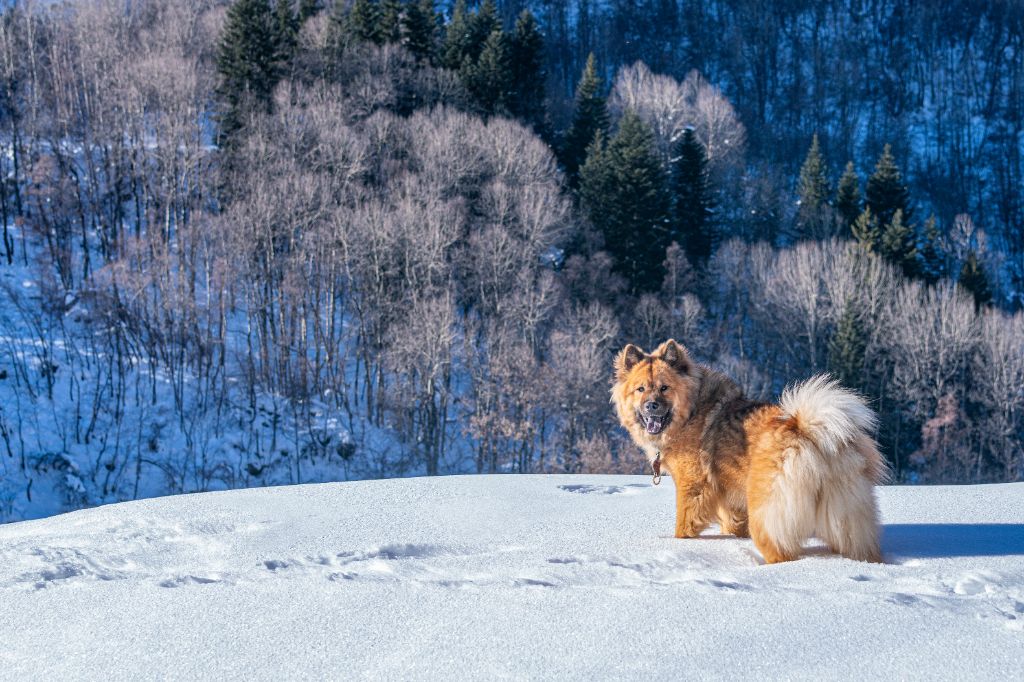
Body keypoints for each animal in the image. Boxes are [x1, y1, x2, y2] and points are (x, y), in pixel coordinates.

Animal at [606, 337, 888, 561]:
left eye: (664, 388)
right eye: (640, 389)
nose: (651, 405)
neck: (692, 410)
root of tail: (808, 433)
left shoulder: (693, 486)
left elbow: (684, 523)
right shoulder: (728, 498)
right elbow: (731, 523)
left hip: (767, 513)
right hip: (846, 517)